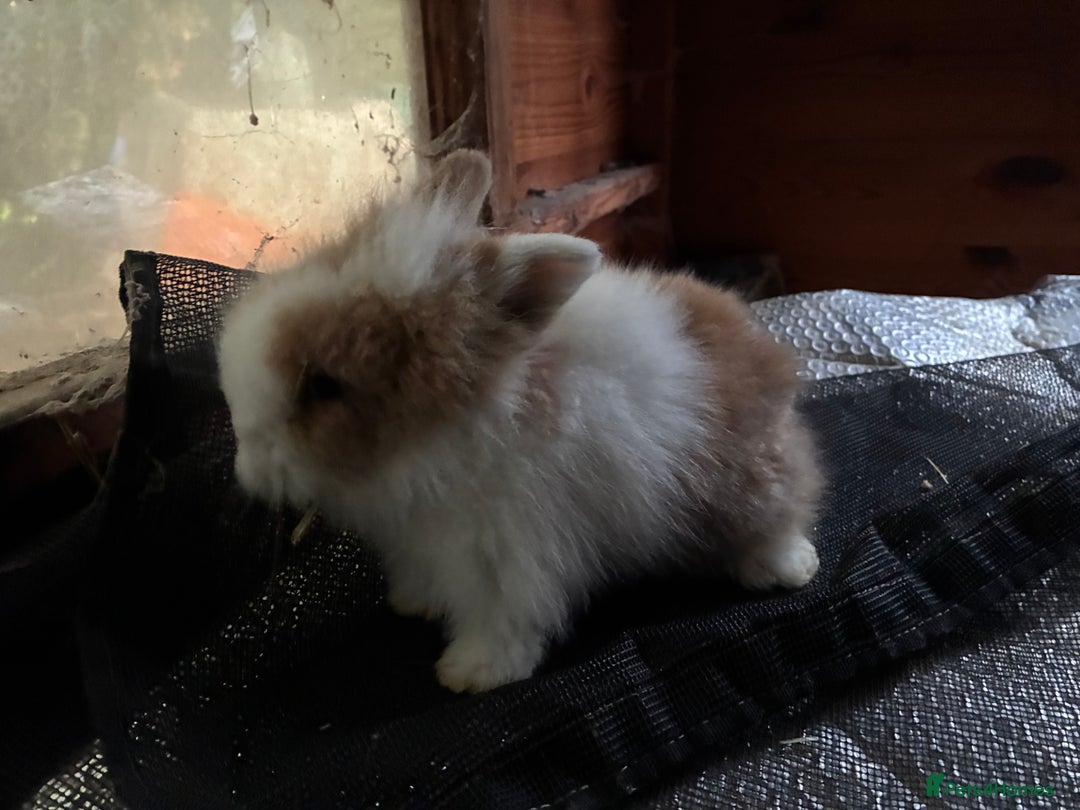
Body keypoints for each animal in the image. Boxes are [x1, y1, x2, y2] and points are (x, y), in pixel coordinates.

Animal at [217, 150, 823, 694]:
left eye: (324, 385)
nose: (245, 464)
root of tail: (763, 352)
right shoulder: (423, 540)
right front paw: (413, 604)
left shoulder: (509, 552)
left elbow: (504, 618)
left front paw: (471, 674)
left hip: (745, 483)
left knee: (780, 520)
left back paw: (789, 568)